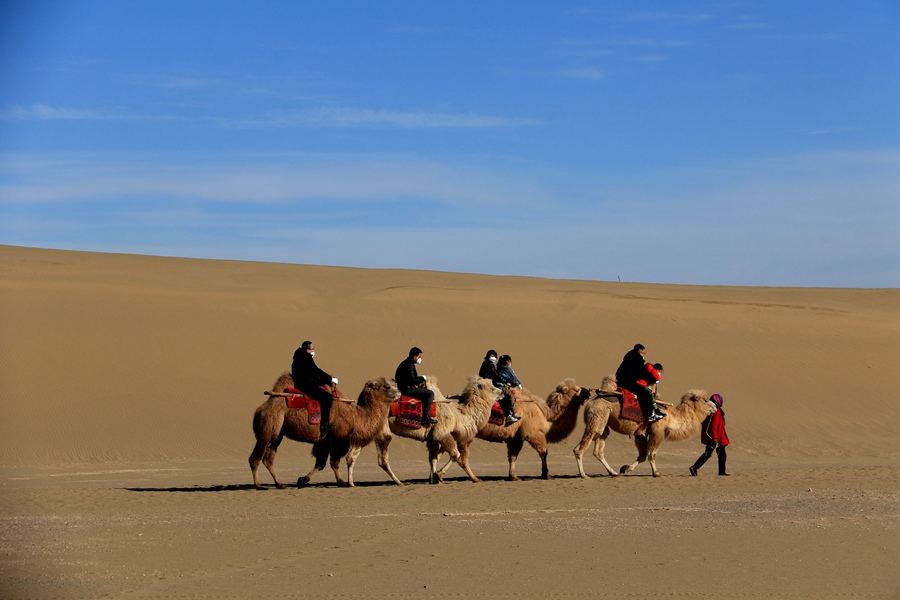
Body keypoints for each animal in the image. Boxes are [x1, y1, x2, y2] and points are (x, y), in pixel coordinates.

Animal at [246, 372, 400, 490]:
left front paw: (337, 481)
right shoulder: (336, 439)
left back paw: (280, 484)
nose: (399, 393)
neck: (355, 417)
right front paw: (340, 482)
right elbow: (329, 462)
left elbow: (325, 463)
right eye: (386, 386)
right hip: (268, 428)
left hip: (278, 434)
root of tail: (261, 408)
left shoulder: (326, 440)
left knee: (268, 459)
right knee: (255, 458)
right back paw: (259, 485)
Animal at [576, 376, 716, 478]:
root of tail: (591, 402)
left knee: (598, 450)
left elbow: (643, 455)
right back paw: (584, 475)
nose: (715, 406)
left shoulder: (640, 433)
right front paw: (656, 473)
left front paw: (625, 469)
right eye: (705, 400)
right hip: (596, 419)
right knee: (580, 447)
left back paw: (613, 472)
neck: (670, 416)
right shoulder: (657, 431)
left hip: (604, 425)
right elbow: (652, 454)